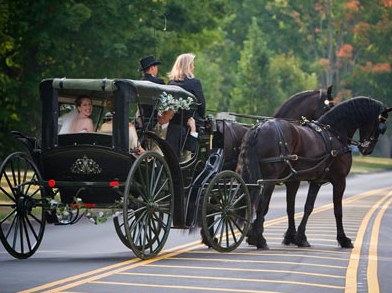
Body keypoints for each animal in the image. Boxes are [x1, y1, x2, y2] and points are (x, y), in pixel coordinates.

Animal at [237, 96, 390, 249]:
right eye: (381, 129)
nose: (367, 149)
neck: (335, 134)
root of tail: (258, 128)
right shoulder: (339, 180)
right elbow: (338, 210)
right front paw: (343, 239)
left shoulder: (312, 181)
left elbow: (304, 207)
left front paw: (298, 237)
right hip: (270, 180)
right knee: (260, 204)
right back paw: (260, 239)